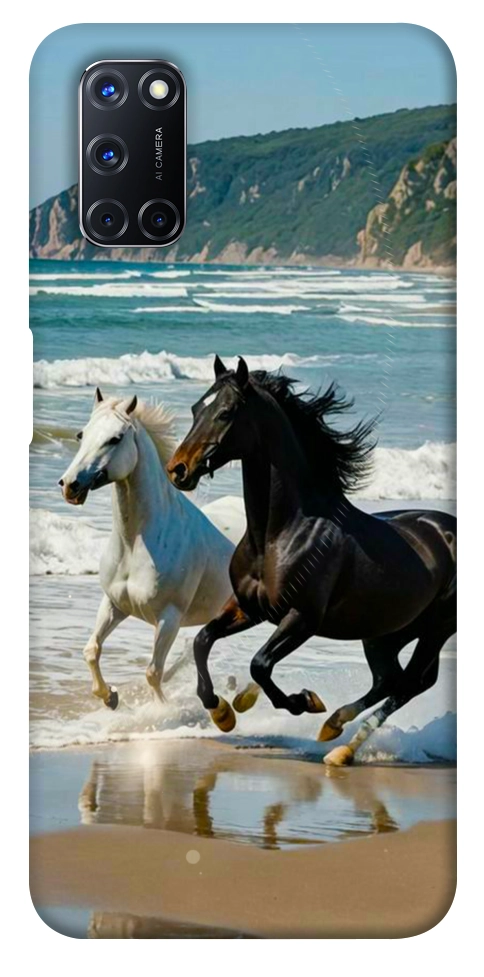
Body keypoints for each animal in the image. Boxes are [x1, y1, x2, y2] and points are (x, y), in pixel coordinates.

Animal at [59, 388, 234, 709]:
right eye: (81, 434)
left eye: (115, 438)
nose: (69, 485)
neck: (135, 544)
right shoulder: (114, 604)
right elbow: (91, 650)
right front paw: (110, 697)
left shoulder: (169, 618)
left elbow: (153, 672)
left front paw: (161, 711)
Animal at [166, 356, 456, 765]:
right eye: (196, 409)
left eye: (225, 413)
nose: (178, 469)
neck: (279, 534)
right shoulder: (248, 608)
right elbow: (202, 641)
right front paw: (222, 711)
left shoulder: (302, 618)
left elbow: (260, 664)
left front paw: (303, 701)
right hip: (385, 632)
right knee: (390, 679)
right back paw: (334, 728)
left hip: (435, 629)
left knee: (411, 683)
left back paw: (341, 746)